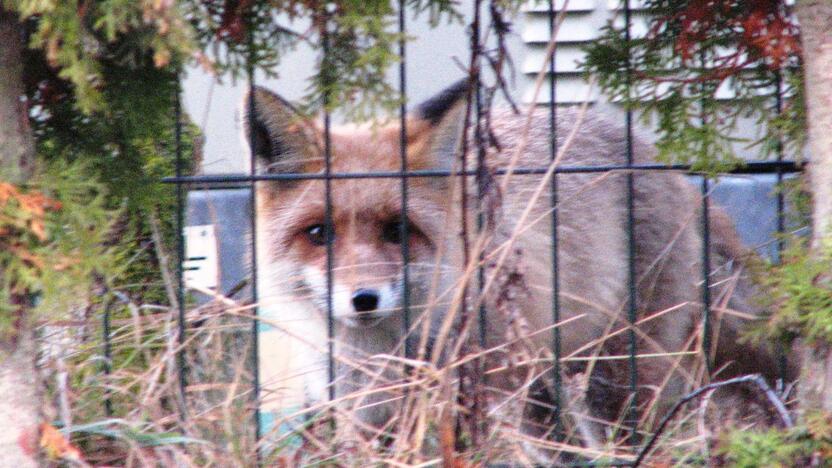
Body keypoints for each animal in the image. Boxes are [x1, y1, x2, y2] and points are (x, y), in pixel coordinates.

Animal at [245, 80, 788, 450]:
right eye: (319, 234)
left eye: (397, 231)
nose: (363, 300)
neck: (382, 355)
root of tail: (661, 160)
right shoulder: (365, 419)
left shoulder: (489, 399)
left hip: (616, 376)